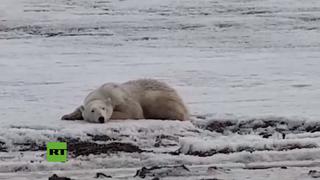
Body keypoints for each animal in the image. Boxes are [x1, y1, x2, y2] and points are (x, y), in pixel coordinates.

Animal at [61, 79, 189, 123]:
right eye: (92, 110)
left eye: (103, 108)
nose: (101, 118)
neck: (102, 93)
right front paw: (67, 116)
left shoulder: (121, 98)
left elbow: (134, 111)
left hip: (159, 98)